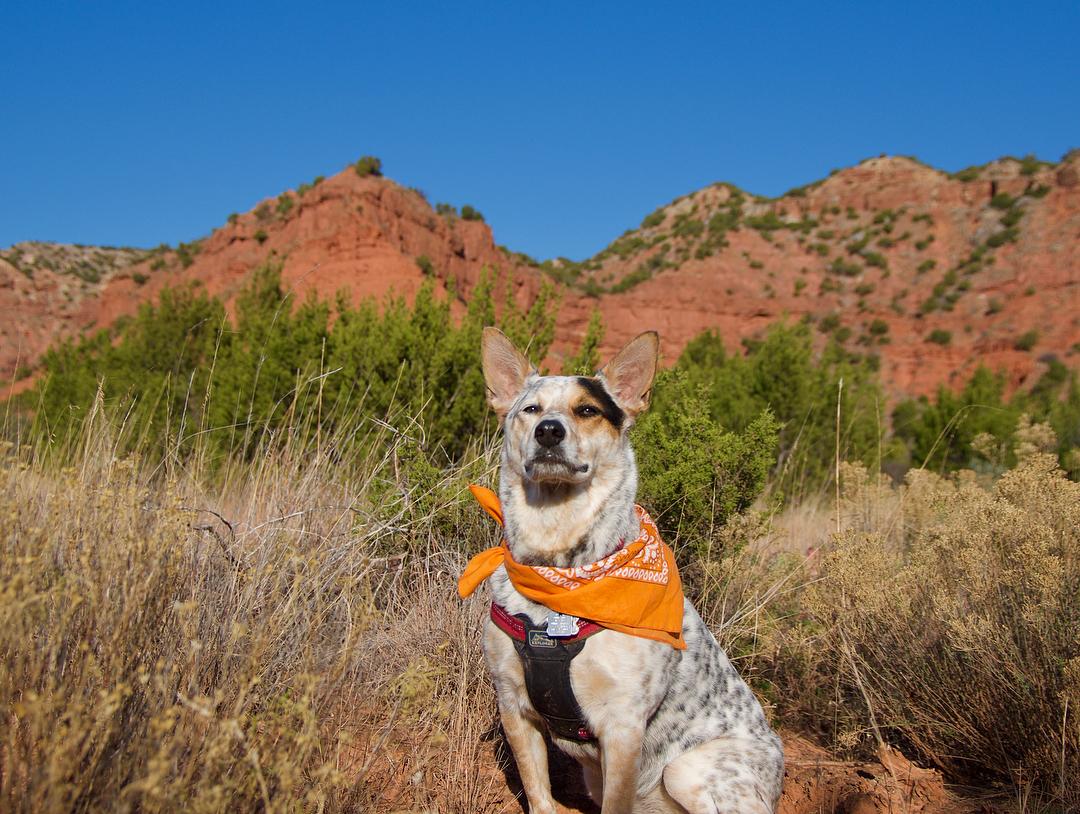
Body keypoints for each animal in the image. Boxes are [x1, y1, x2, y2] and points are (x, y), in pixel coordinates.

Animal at [464, 326, 786, 807]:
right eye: (531, 409)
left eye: (587, 410)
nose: (548, 431)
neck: (563, 571)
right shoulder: (514, 707)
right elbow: (539, 795)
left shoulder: (622, 727)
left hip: (688, 771)